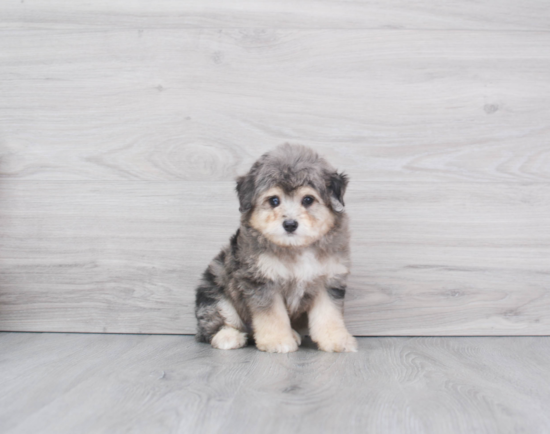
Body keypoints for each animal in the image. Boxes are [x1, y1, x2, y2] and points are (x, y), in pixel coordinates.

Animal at [194, 142, 358, 352]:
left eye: (308, 200)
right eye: (274, 200)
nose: (290, 224)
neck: (296, 247)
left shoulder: (328, 280)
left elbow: (329, 314)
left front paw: (337, 340)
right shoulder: (262, 281)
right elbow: (272, 315)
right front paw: (278, 341)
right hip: (215, 286)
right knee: (214, 321)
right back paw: (228, 336)